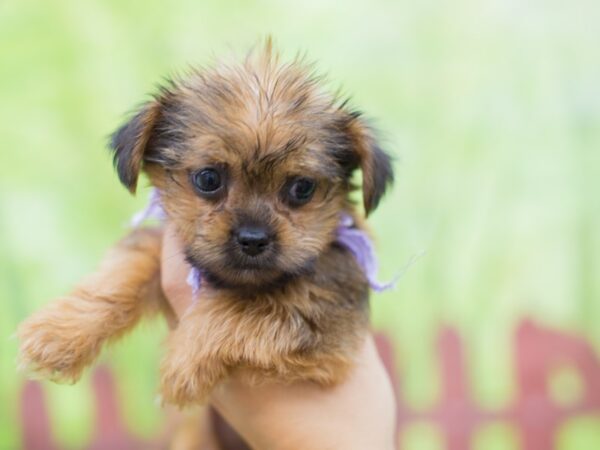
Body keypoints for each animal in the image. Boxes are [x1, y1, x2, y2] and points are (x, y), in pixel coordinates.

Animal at [16, 42, 394, 406]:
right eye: (208, 179)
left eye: (302, 188)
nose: (253, 239)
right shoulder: (165, 247)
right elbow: (122, 272)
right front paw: (59, 336)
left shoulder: (322, 319)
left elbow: (243, 309)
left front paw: (182, 365)